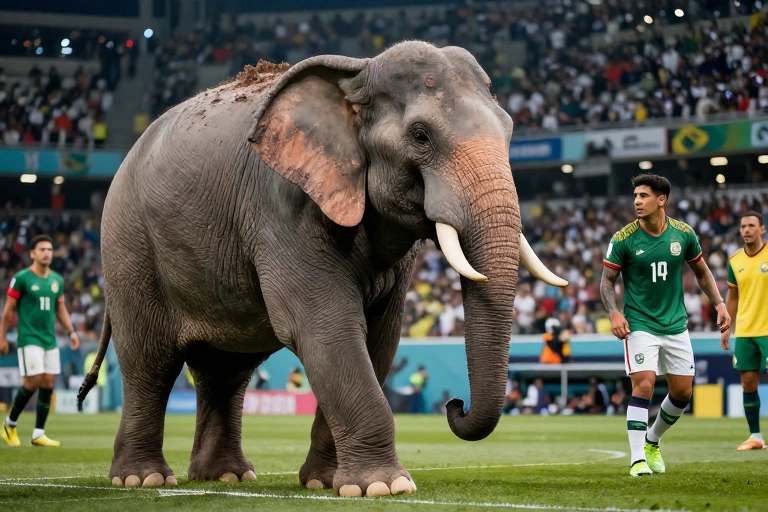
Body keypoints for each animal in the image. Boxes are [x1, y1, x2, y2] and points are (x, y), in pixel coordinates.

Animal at [77, 40, 567, 497]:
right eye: (420, 136)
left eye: (509, 130)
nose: (454, 404)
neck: (358, 73)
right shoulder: (284, 207)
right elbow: (325, 326)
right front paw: (385, 487)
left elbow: (379, 338)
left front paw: (327, 483)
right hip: (129, 245)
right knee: (150, 361)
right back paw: (143, 479)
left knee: (225, 373)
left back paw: (226, 476)